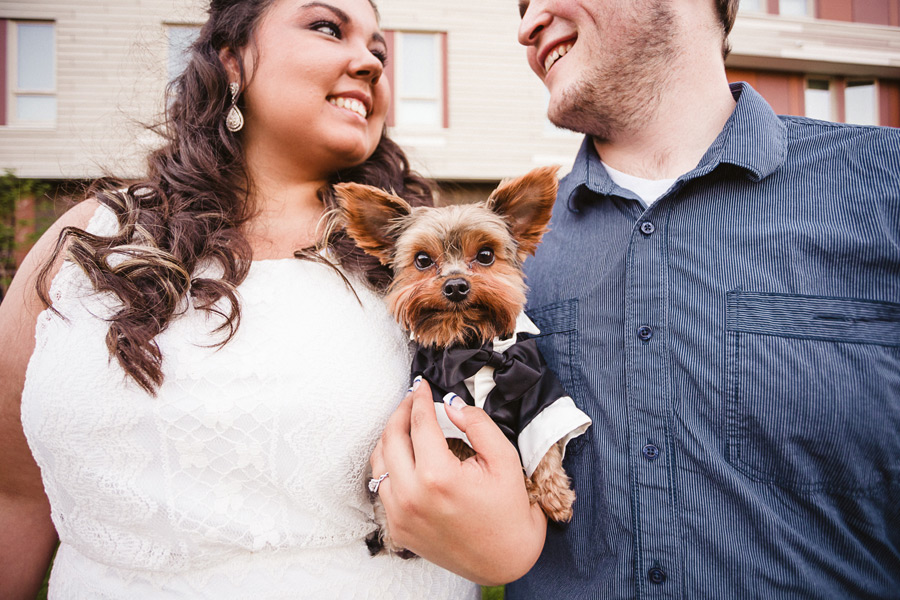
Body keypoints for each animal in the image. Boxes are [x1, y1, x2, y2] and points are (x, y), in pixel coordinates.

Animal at [334, 166, 596, 556]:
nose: (456, 286)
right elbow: (460, 446)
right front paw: (526, 488)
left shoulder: (539, 390)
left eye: (485, 255)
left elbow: (546, 443)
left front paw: (554, 494)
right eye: (422, 260)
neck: (473, 346)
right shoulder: (438, 398)